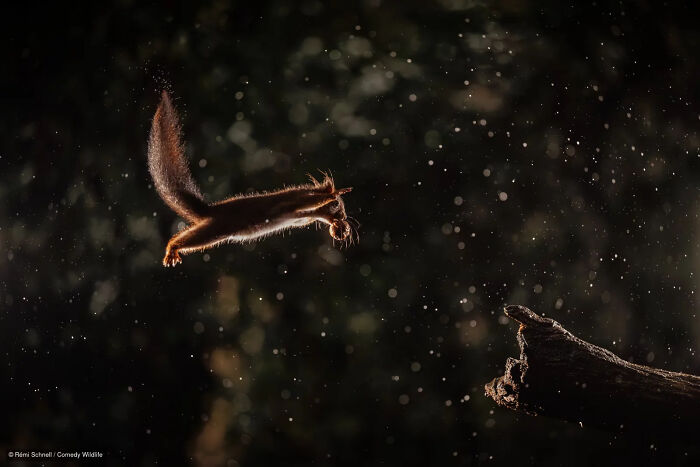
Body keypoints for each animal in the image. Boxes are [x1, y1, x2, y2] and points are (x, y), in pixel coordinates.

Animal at [147, 91, 355, 267]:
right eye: (338, 206)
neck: (311, 214)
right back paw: (172, 248)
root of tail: (211, 210)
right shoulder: (291, 203)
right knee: (189, 238)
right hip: (217, 229)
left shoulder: (303, 217)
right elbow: (306, 199)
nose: (344, 217)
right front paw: (332, 194)